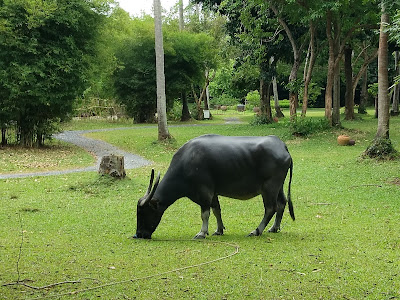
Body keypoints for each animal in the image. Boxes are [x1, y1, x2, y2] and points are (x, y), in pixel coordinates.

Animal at [134, 134, 294, 239]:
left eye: (143, 213)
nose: (139, 234)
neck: (186, 162)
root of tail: (282, 146)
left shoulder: (204, 192)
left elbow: (205, 213)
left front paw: (202, 233)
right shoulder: (213, 193)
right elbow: (217, 210)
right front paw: (219, 230)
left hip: (269, 187)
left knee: (270, 208)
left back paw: (256, 231)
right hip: (278, 186)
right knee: (282, 203)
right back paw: (274, 228)